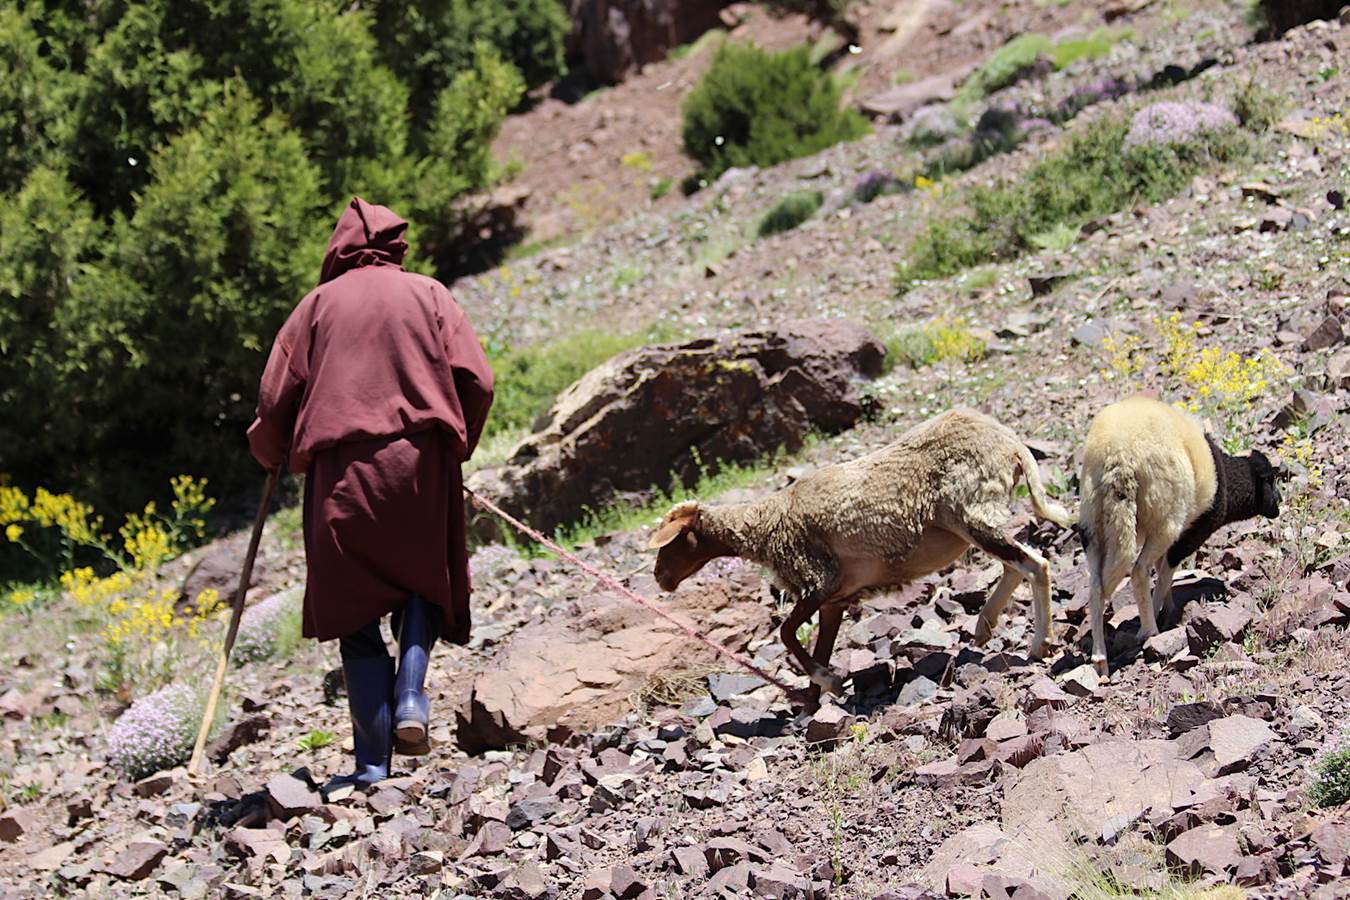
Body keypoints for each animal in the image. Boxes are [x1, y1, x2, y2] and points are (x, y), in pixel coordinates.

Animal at [648, 410, 1069, 712]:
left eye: (669, 544)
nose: (660, 578)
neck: (768, 525)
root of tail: (1012, 444)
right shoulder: (835, 599)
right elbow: (816, 646)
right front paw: (812, 704)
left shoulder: (819, 580)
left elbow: (787, 634)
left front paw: (830, 682)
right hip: (975, 519)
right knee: (1015, 565)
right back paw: (984, 626)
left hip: (970, 511)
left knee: (1035, 564)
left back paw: (1039, 644)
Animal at [1080, 396, 1279, 674]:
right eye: (1271, 480)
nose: (1278, 506)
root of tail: (1117, 456)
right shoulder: (1191, 532)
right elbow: (1165, 572)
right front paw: (1162, 613)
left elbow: (1162, 569)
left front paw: (1169, 607)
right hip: (1166, 519)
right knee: (1139, 570)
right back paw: (1149, 630)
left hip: (1093, 525)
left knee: (1097, 586)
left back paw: (1100, 659)